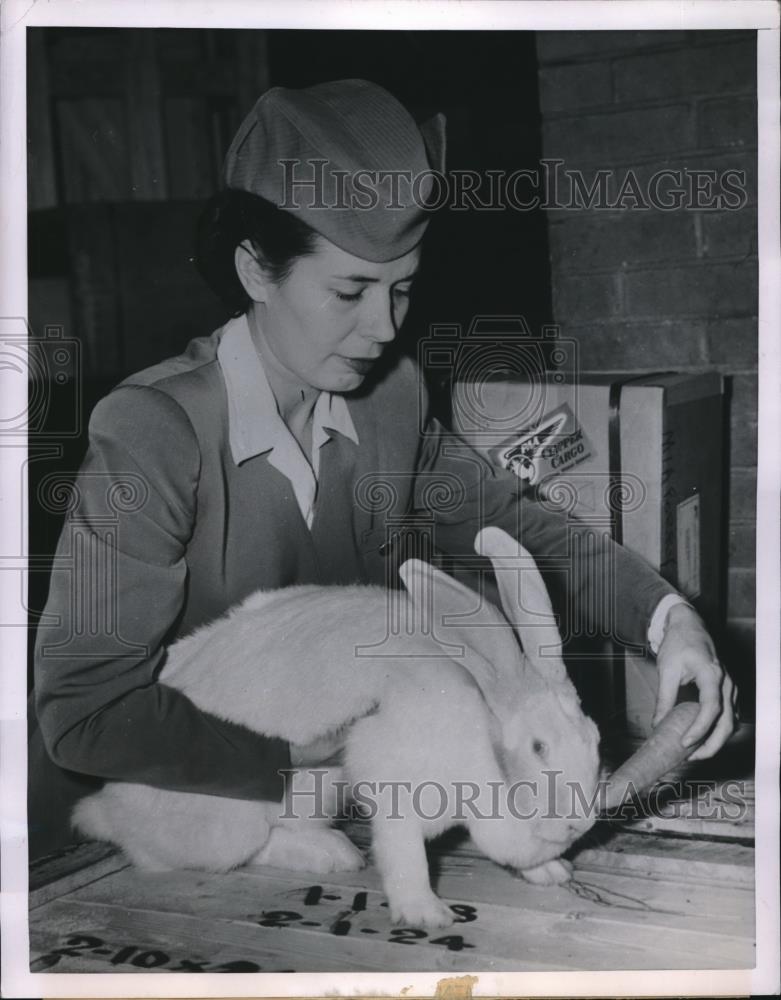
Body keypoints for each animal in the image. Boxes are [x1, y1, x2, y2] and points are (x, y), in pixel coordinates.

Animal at [73, 528, 596, 924]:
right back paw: (334, 854)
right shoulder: (394, 782)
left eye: (594, 739)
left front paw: (553, 873)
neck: (484, 729)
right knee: (226, 851)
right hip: (230, 822)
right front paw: (426, 914)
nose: (581, 822)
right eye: (539, 747)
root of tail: (107, 805)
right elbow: (404, 854)